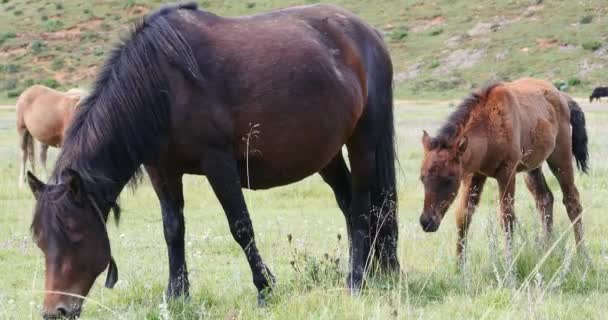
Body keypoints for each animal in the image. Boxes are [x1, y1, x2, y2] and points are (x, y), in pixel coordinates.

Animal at [26, 2, 400, 318]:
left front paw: (265, 288)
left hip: (363, 142)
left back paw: (356, 280)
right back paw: (369, 271)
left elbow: (241, 227)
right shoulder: (161, 170)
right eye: (41, 242)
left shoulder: (218, 163)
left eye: (76, 237)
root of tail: (369, 34)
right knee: (349, 203)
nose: (55, 311)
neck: (161, 85)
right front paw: (176, 295)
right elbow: (173, 229)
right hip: (327, 154)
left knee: (362, 206)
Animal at [420, 78, 588, 268]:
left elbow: (507, 218)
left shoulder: (507, 173)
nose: (427, 222)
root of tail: (563, 97)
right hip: (532, 168)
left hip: (560, 159)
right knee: (544, 198)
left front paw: (509, 264)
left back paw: (583, 256)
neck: (489, 128)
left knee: (572, 201)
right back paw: (547, 251)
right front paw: (459, 267)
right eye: (422, 178)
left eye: (449, 180)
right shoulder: (474, 175)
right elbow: (463, 215)